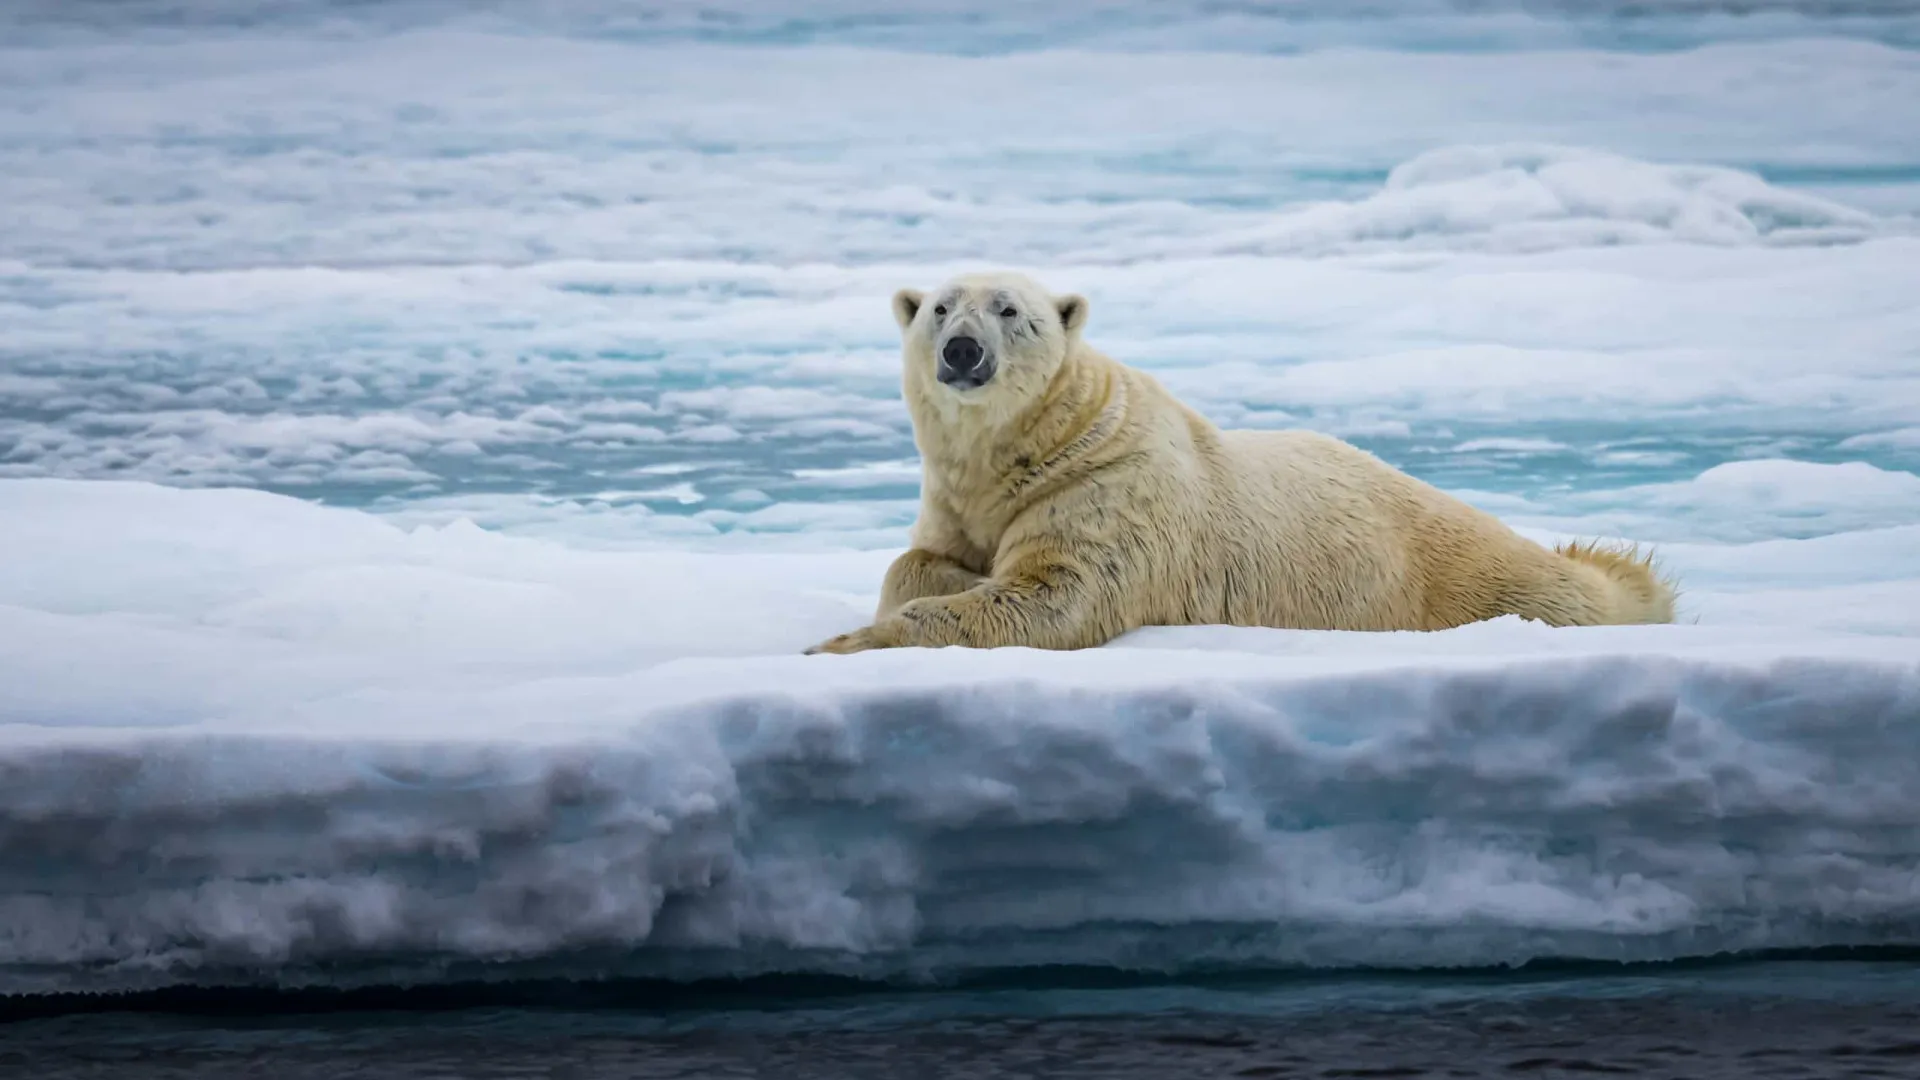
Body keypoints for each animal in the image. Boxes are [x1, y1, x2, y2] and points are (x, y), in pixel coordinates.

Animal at [805, 271, 1675, 655]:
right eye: (941, 307)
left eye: (1010, 310)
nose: (962, 351)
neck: (1040, 442)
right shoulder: (960, 495)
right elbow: (921, 559)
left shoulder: (1109, 491)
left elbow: (1054, 598)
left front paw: (840, 644)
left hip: (1458, 575)